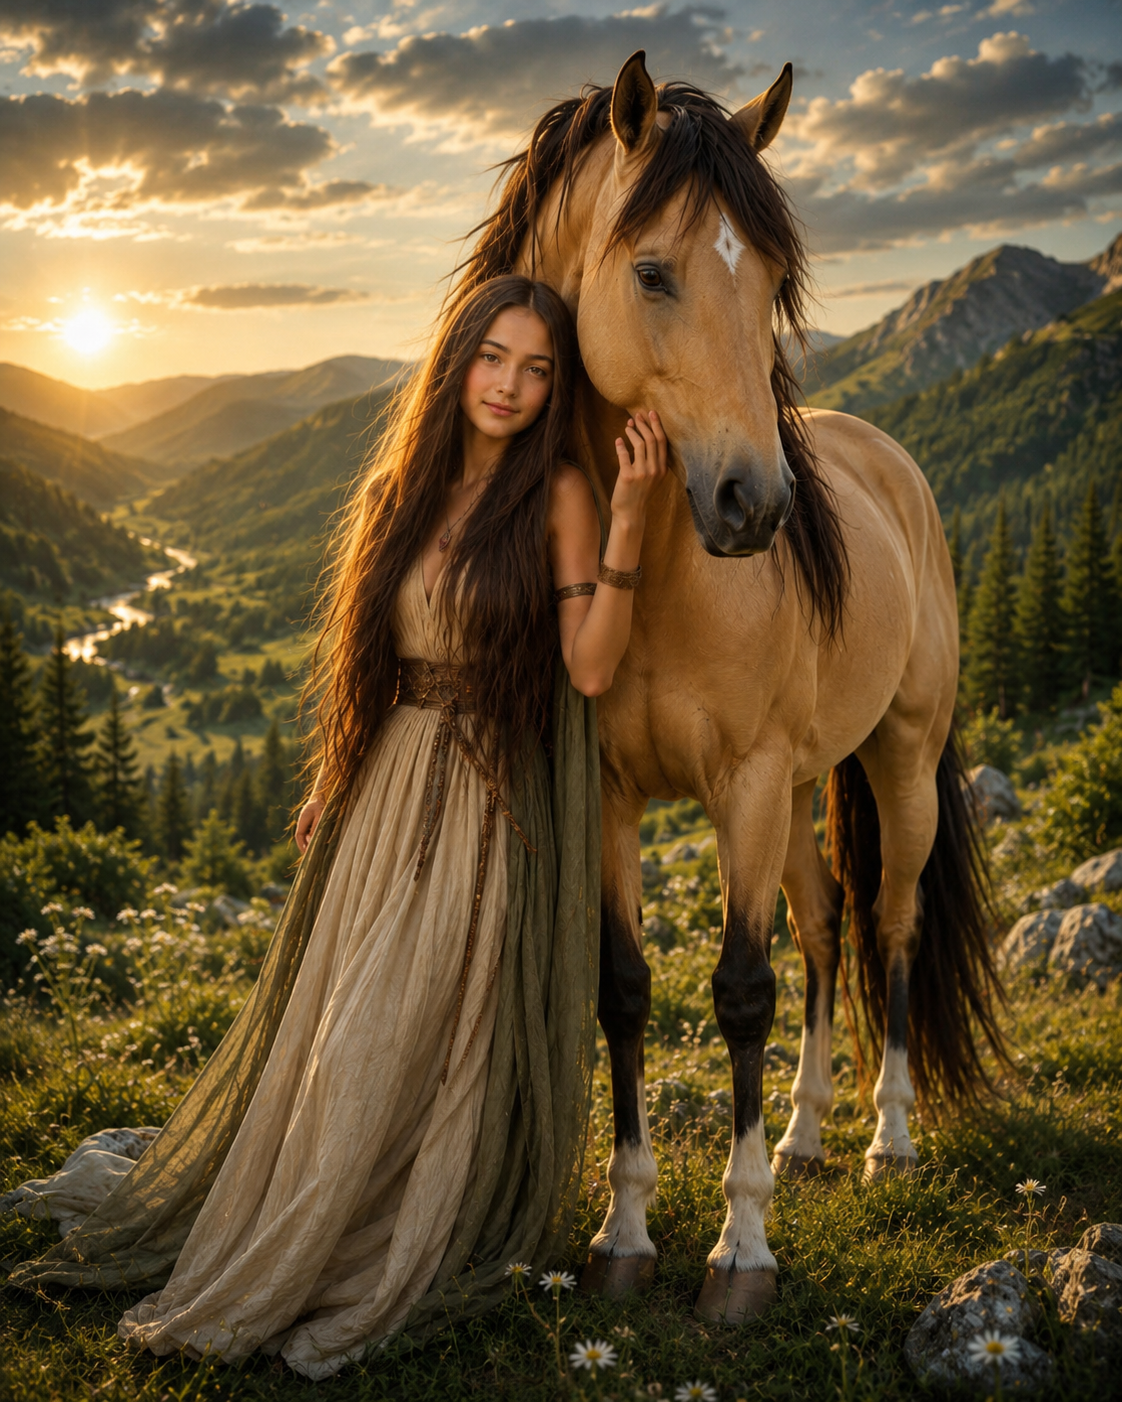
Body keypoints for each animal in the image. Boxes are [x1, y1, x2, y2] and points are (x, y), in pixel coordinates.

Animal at [456, 51, 1006, 1323]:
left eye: (773, 282)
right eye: (652, 271)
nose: (756, 506)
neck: (657, 577)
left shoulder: (744, 785)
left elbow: (742, 991)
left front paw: (739, 1252)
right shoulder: (616, 793)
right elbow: (625, 990)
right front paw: (624, 1233)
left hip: (898, 762)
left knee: (889, 922)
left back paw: (886, 1139)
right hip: (803, 789)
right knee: (825, 922)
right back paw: (804, 1136)